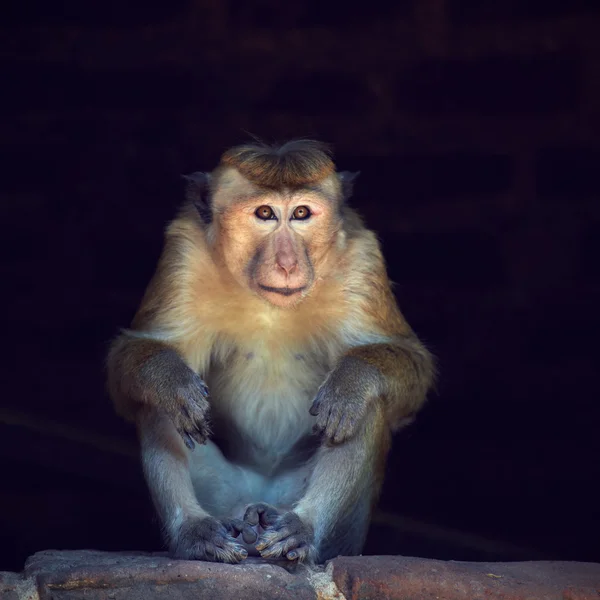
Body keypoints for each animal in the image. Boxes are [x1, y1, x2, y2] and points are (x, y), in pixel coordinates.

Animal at [106, 138, 436, 564]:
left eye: (301, 213)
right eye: (264, 213)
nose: (287, 263)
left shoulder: (362, 261)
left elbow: (407, 362)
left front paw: (352, 381)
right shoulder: (183, 255)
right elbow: (136, 361)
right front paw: (171, 381)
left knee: (366, 408)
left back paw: (300, 527)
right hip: (225, 493)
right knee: (157, 407)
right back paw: (195, 532)